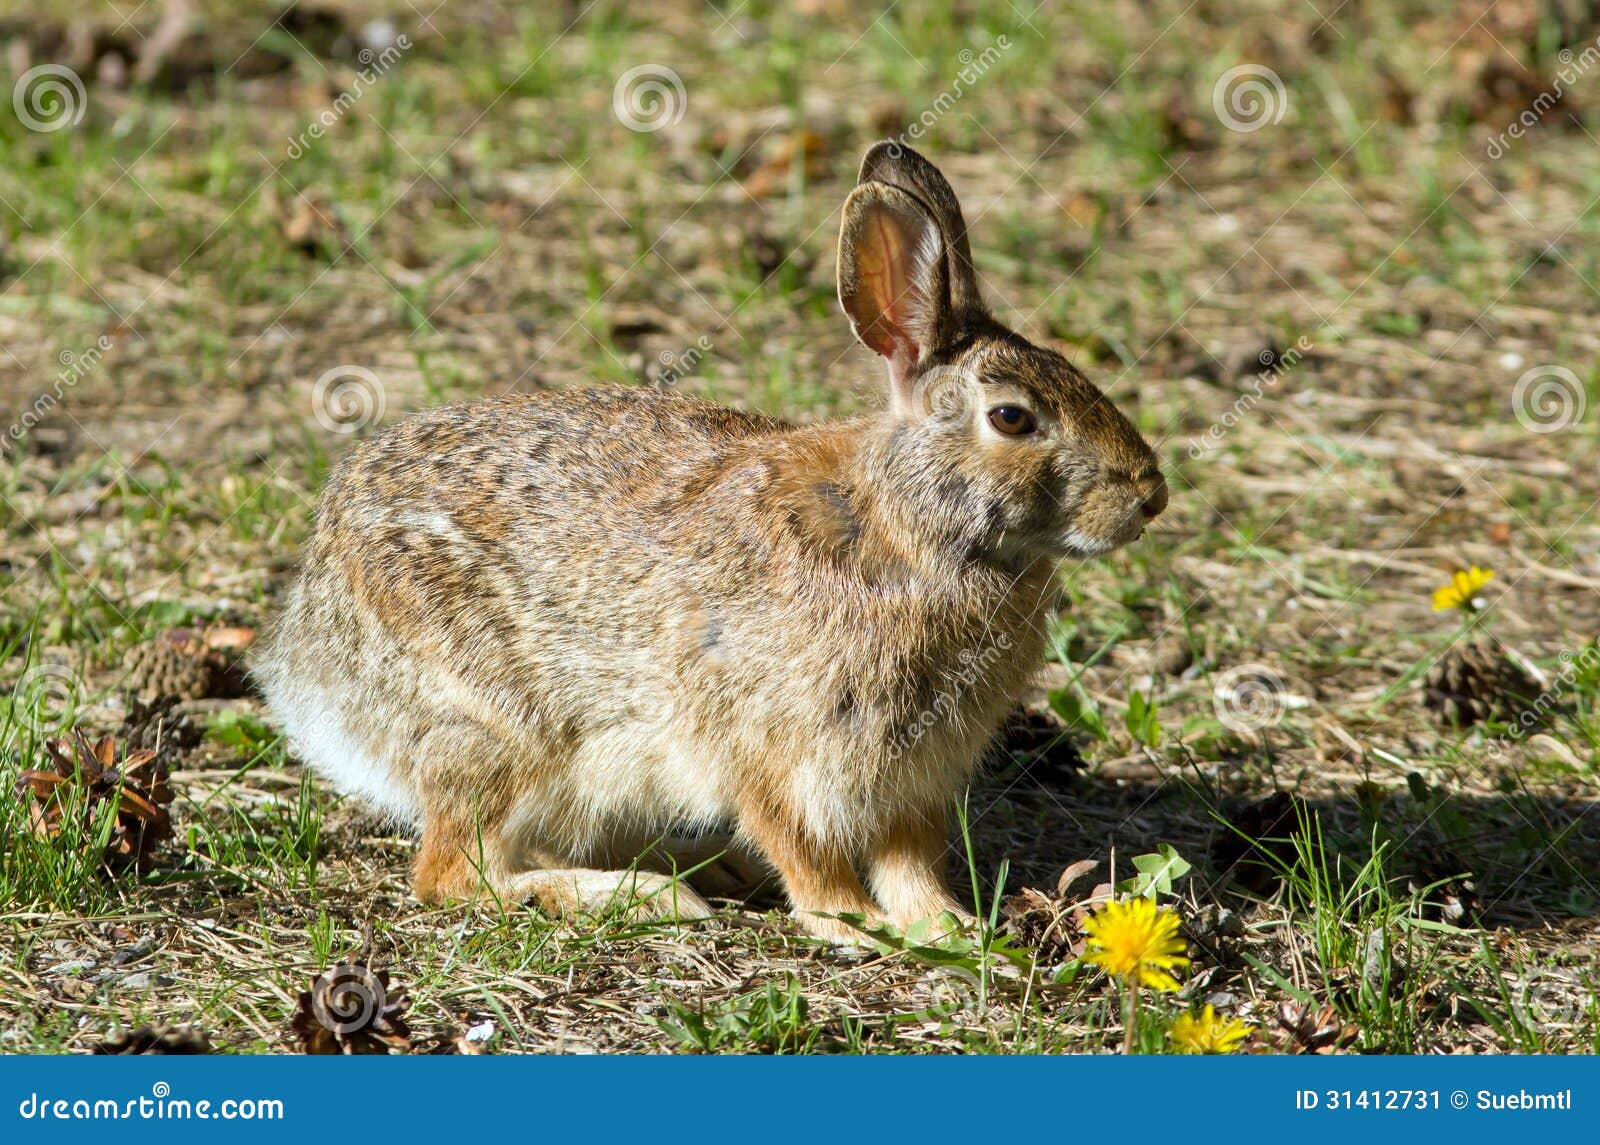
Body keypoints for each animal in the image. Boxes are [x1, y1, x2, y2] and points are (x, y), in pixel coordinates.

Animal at [256, 140, 1171, 940]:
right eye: (1013, 418)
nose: (1150, 495)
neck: (911, 528)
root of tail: (306, 652)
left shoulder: (910, 777)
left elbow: (908, 859)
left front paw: (945, 924)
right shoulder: (767, 744)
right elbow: (803, 847)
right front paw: (855, 925)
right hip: (495, 731)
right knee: (456, 871)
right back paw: (636, 895)